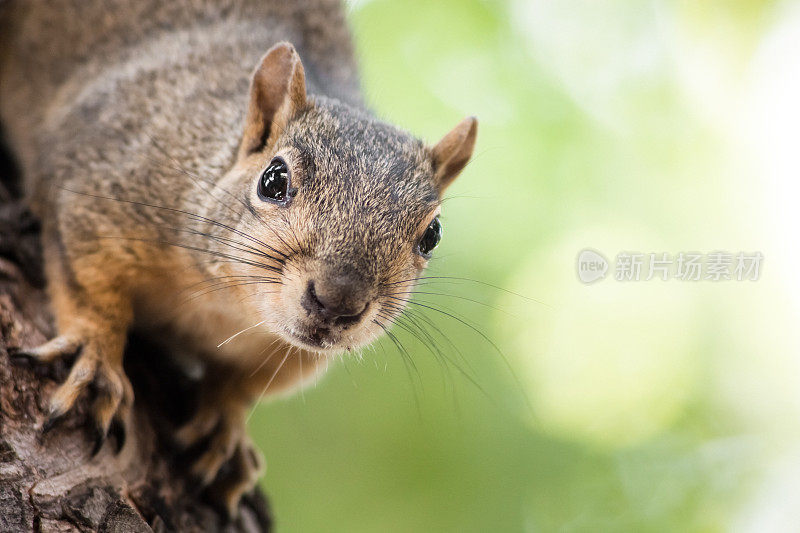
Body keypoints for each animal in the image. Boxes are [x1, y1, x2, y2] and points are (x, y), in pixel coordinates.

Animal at [0, 1, 476, 516]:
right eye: (273, 179)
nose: (337, 302)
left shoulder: (288, 357)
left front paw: (226, 426)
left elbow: (246, 385)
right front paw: (97, 358)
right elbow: (90, 283)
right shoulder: (101, 187)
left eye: (432, 235)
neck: (230, 308)